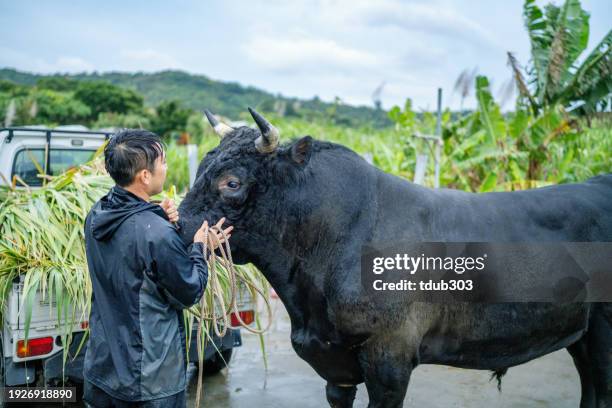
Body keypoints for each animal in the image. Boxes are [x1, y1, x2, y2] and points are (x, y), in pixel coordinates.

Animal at [177, 110, 612, 406]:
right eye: (200, 168)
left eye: (232, 182)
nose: (176, 226)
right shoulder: (335, 367)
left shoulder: (389, 359)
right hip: (582, 335)